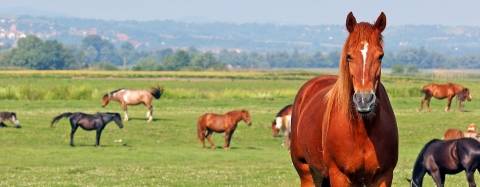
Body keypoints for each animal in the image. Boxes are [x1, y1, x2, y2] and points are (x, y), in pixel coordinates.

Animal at [288, 12, 398, 186]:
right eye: (349, 56)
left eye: (380, 56)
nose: (364, 99)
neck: (362, 132)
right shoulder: (339, 175)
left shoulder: (383, 177)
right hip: (307, 173)